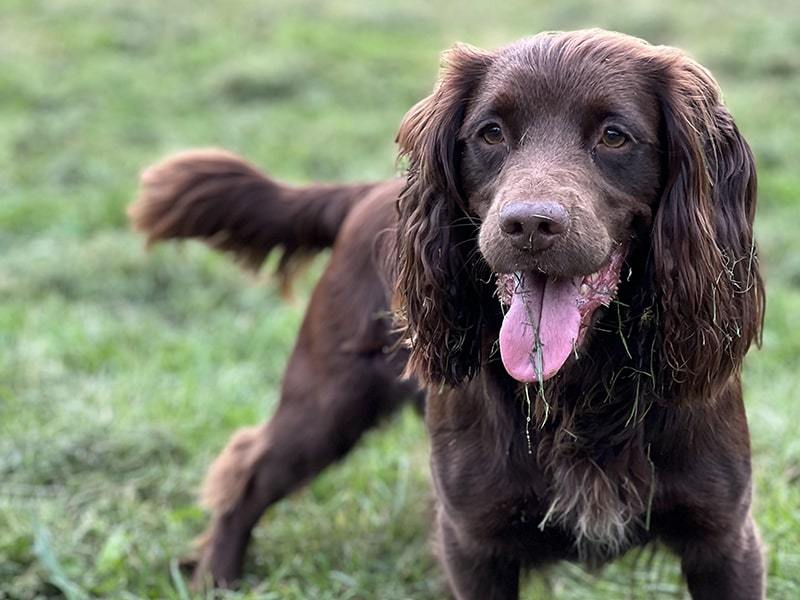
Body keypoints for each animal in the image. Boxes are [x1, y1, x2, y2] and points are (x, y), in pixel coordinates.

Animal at [130, 29, 764, 600]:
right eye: (491, 133)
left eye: (614, 136)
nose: (528, 224)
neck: (574, 389)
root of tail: (364, 194)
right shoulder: (473, 540)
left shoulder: (725, 538)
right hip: (327, 401)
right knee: (250, 466)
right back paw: (215, 576)